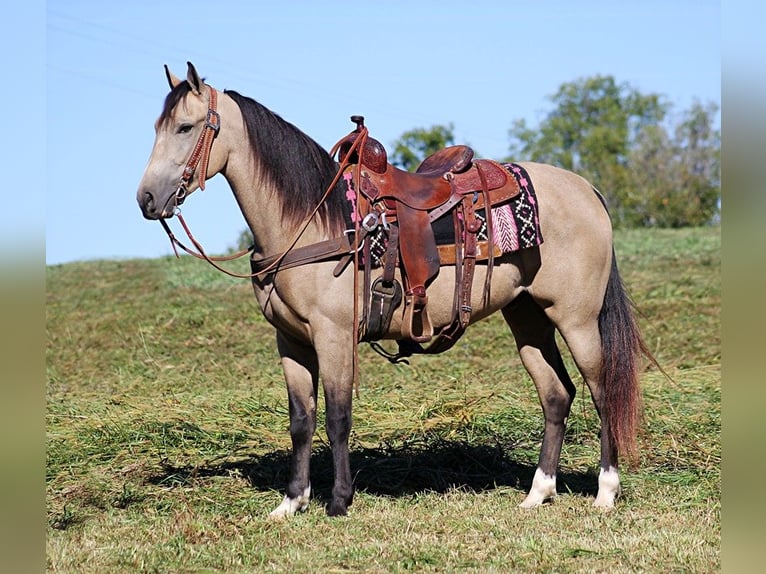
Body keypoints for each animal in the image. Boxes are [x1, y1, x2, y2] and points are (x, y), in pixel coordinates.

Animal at [136, 62, 648, 516]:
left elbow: (338, 417)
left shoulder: (334, 335)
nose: (146, 199)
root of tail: (587, 190)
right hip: (527, 317)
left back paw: (606, 492)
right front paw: (291, 502)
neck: (310, 220)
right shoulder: (291, 341)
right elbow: (302, 421)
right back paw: (538, 494)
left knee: (603, 390)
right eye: (157, 126)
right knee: (557, 394)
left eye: (185, 127)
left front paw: (339, 501)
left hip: (577, 319)